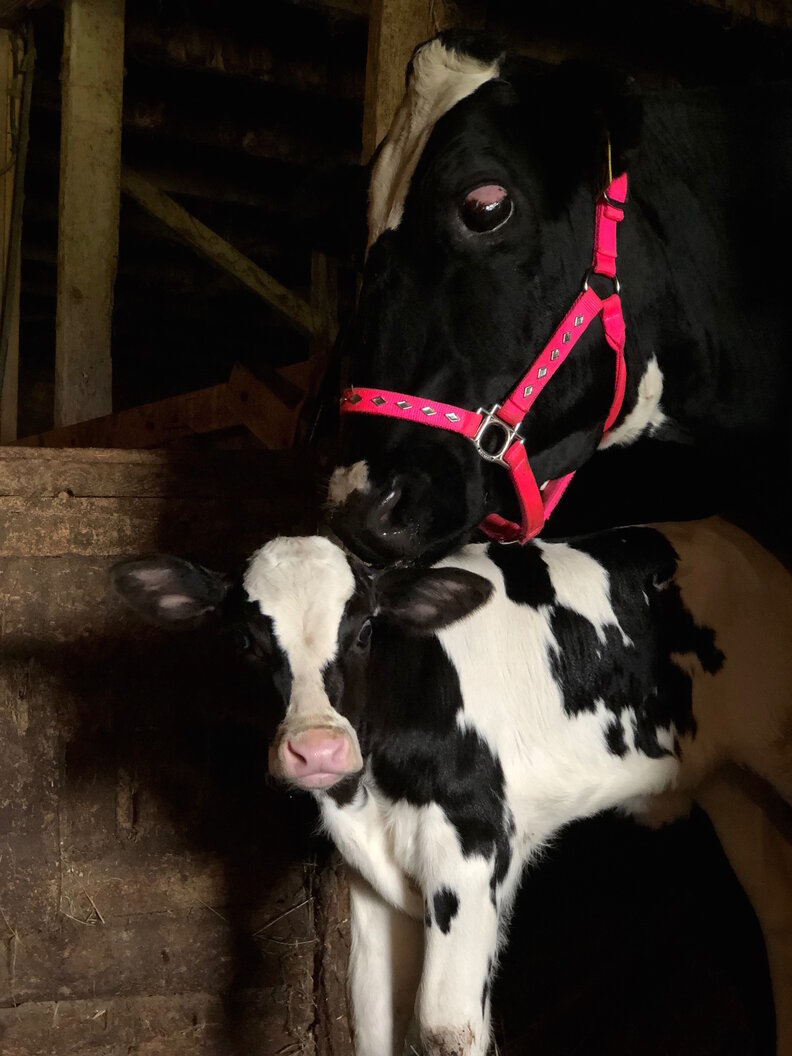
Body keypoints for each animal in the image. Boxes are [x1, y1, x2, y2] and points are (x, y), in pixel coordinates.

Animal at [112, 519, 792, 1056]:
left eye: (365, 630)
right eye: (244, 640)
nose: (318, 748)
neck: (373, 793)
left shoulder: (472, 851)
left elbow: (445, 1028)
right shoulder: (372, 879)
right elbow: (373, 1024)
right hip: (734, 790)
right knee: (777, 919)